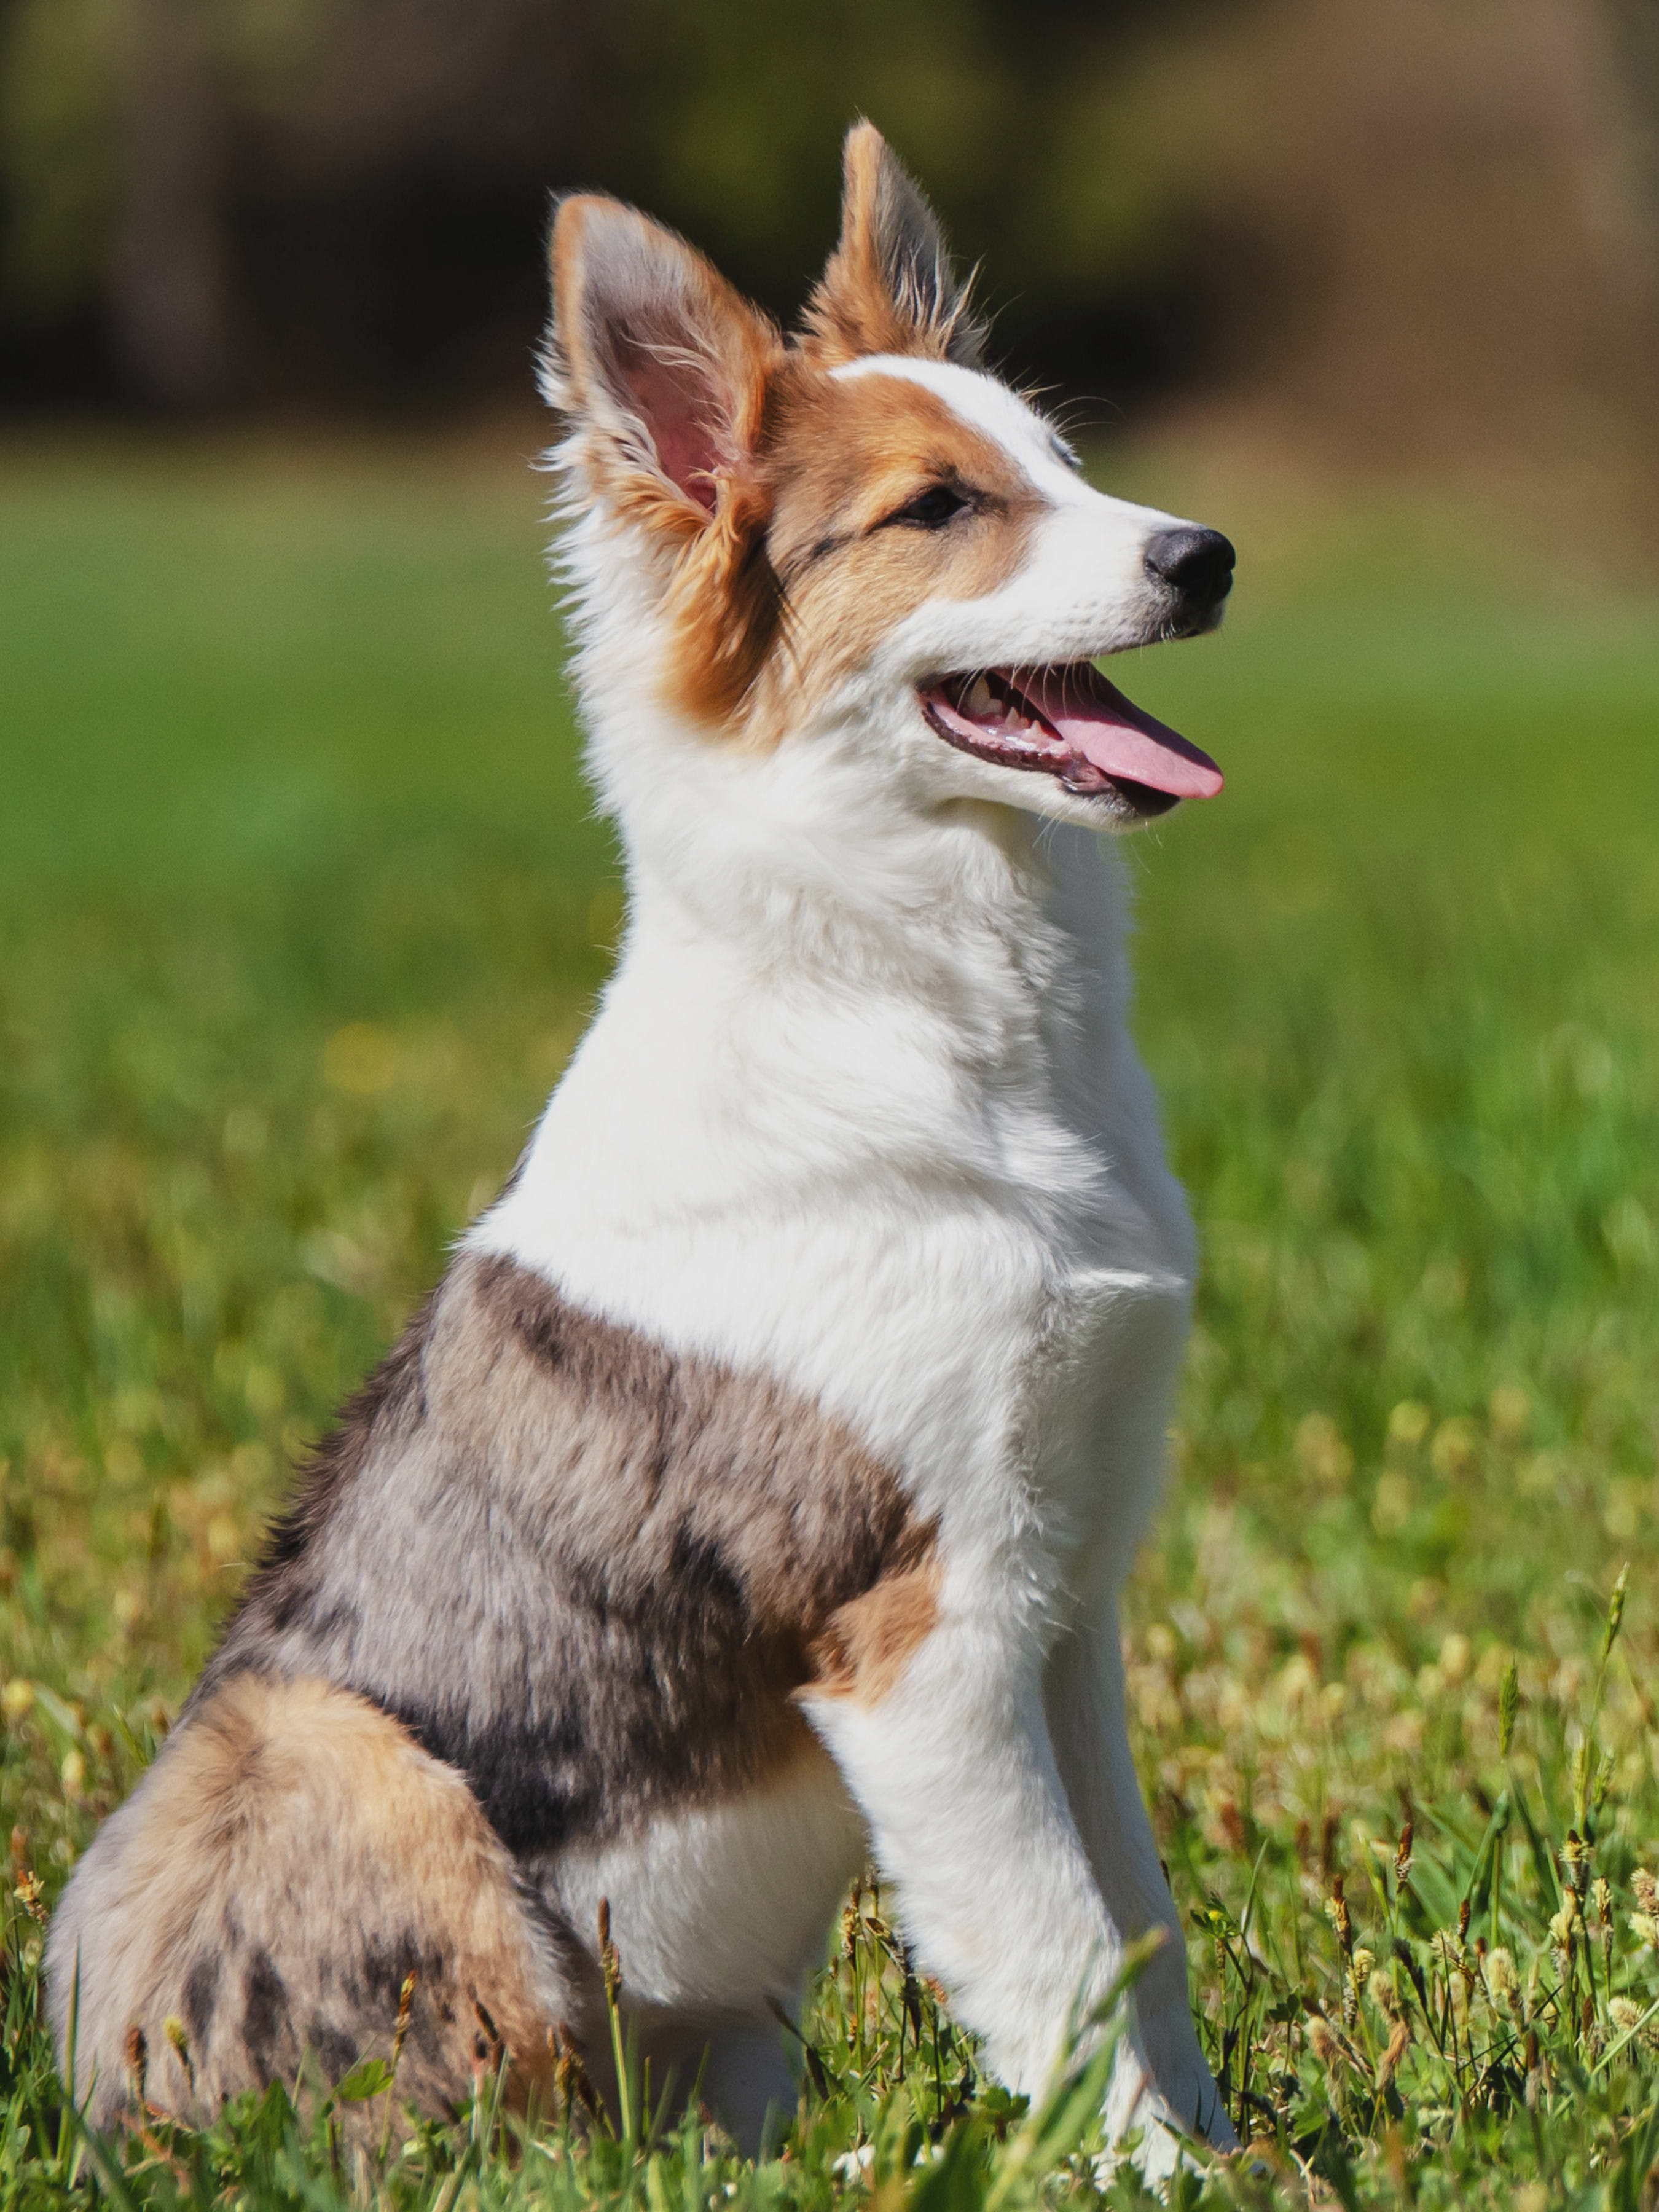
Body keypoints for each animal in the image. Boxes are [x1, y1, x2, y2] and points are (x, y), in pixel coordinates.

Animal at [45, 125, 1239, 2176]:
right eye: (939, 507)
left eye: (1065, 459)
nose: (1208, 556)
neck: (934, 1022)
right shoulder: (921, 1633)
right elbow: (1058, 1962)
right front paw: (1152, 2185)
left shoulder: (1064, 1596)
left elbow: (1137, 1935)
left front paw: (1235, 2163)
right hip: (325, 1744)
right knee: (491, 2136)